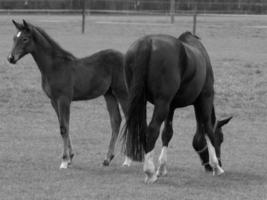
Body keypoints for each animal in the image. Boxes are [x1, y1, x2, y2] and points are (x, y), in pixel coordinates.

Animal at [8, 19, 130, 169]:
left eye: (25, 39)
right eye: (14, 38)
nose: (10, 58)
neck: (54, 67)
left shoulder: (64, 99)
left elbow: (64, 128)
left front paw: (64, 161)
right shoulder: (54, 101)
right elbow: (64, 125)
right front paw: (70, 157)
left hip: (122, 93)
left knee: (129, 119)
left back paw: (127, 160)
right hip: (109, 94)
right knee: (115, 120)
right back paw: (107, 158)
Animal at [122, 32, 232, 184]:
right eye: (221, 138)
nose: (211, 166)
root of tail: (147, 43)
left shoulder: (171, 107)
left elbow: (167, 133)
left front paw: (162, 168)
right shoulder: (205, 99)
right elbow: (208, 130)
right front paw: (217, 167)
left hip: (140, 100)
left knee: (139, 128)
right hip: (162, 103)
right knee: (152, 130)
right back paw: (150, 172)